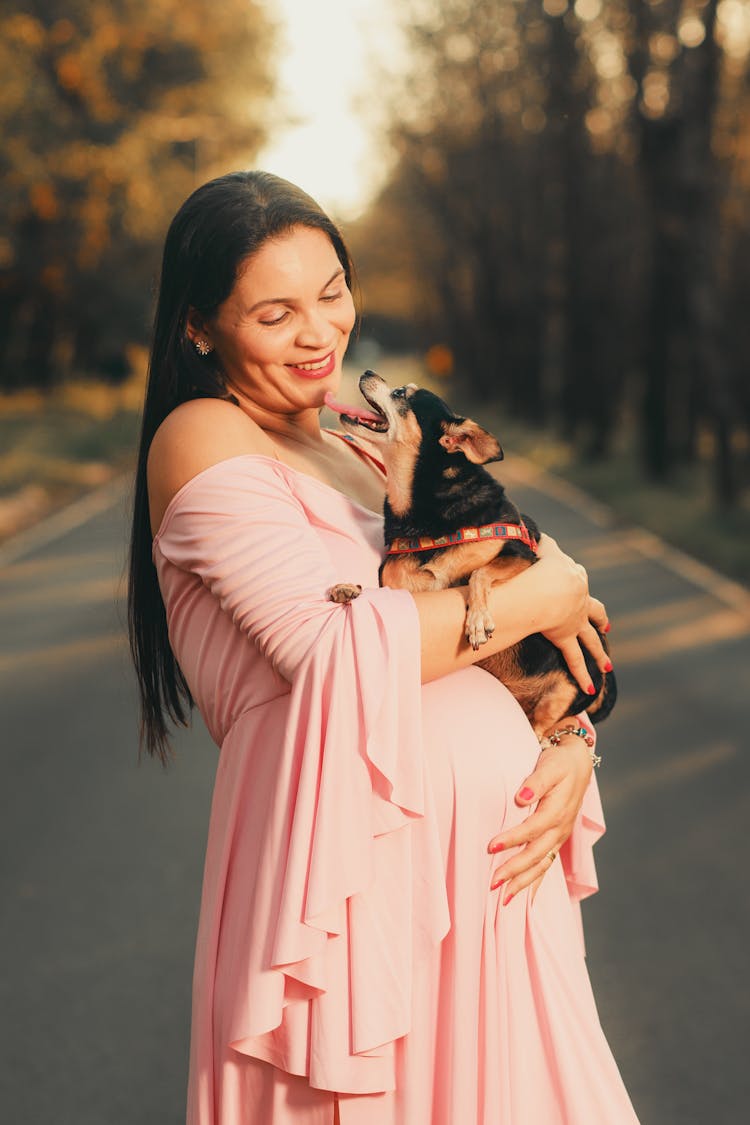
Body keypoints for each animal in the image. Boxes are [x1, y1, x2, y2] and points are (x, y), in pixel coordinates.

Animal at [328, 371, 616, 738]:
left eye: (400, 394)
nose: (366, 373)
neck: (426, 518)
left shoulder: (520, 554)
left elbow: (479, 573)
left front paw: (478, 620)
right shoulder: (405, 590)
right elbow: (380, 592)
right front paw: (349, 588)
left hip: (565, 691)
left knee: (543, 726)